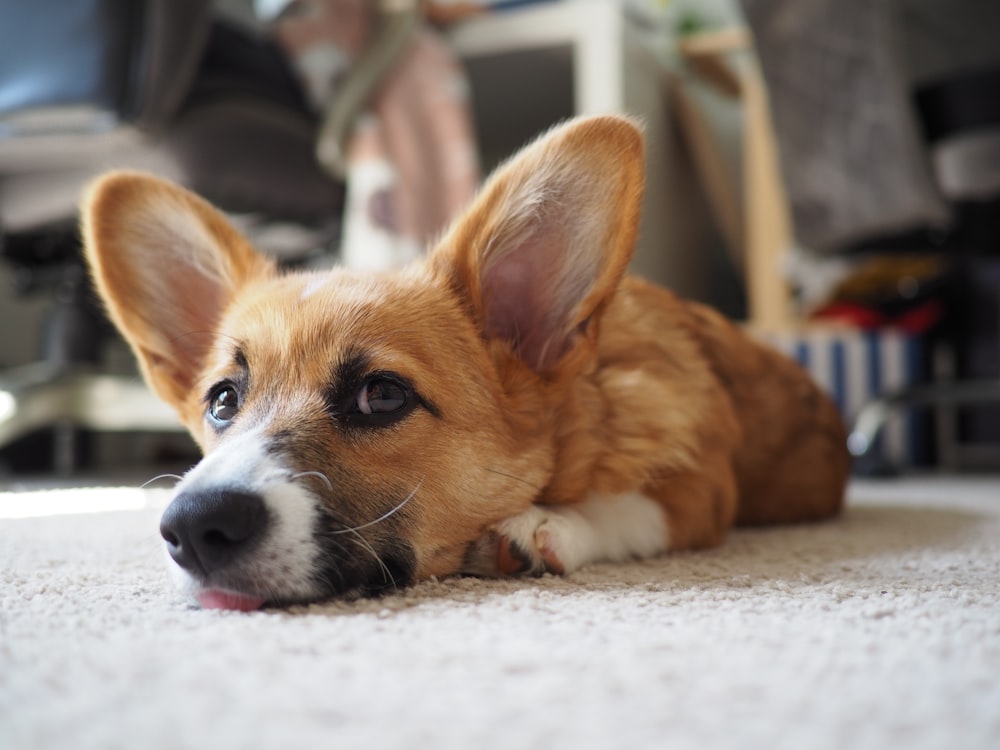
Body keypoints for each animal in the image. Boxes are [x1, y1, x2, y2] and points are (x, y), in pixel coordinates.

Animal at [82, 116, 848, 612]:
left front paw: (544, 528)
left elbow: (628, 507)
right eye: (221, 400)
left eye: (383, 395)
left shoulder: (701, 488)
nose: (192, 528)